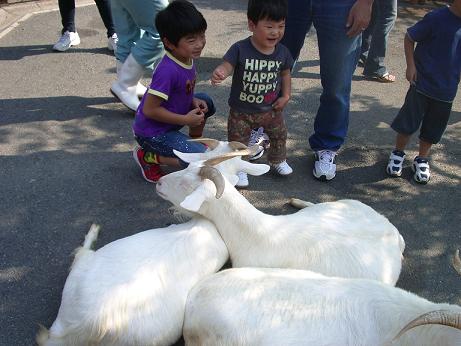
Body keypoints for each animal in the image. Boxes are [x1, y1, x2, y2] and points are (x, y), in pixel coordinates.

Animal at [156, 150, 404, 286]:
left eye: (186, 185)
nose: (158, 183)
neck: (255, 233)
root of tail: (393, 232)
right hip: (341, 204)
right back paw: (297, 202)